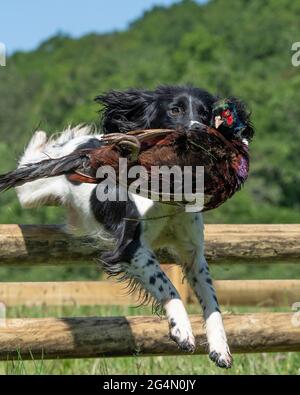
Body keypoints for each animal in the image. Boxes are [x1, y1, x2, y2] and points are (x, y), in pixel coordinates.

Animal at [15, 86, 233, 368]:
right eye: (175, 110)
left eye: (205, 113)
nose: (198, 131)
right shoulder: (131, 248)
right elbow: (166, 284)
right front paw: (182, 331)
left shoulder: (193, 256)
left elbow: (211, 300)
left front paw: (220, 348)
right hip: (32, 191)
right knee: (28, 166)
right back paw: (41, 139)